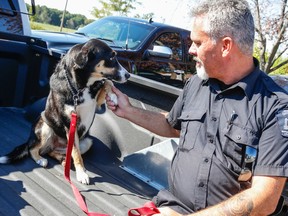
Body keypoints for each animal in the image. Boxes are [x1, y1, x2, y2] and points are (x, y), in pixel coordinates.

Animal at [0, 38, 129, 184]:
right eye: (111, 57)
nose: (128, 75)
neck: (80, 87)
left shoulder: (96, 103)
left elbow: (107, 82)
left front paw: (113, 96)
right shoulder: (69, 124)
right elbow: (76, 154)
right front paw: (81, 174)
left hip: (87, 142)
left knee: (54, 152)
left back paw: (62, 160)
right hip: (46, 127)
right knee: (33, 149)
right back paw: (41, 159)